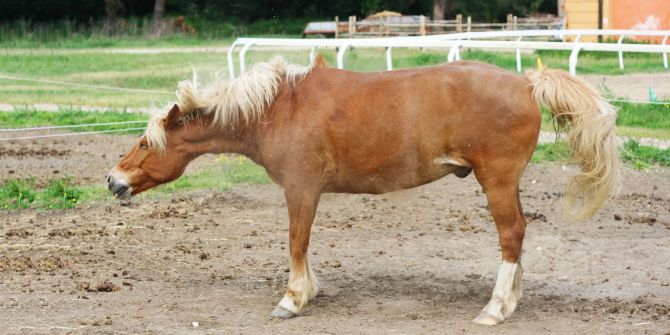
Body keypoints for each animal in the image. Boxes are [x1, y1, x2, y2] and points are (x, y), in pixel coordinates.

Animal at [106, 56, 624, 326]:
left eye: (144, 143)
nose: (113, 179)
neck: (279, 108)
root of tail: (527, 81)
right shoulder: (307, 192)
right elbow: (303, 244)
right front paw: (309, 290)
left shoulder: (301, 189)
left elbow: (296, 242)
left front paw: (292, 299)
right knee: (518, 236)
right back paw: (511, 301)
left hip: (495, 181)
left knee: (511, 235)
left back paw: (495, 309)